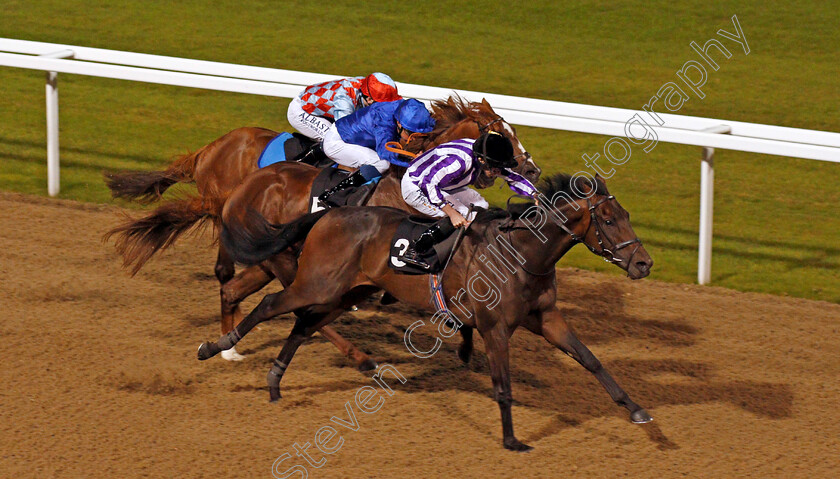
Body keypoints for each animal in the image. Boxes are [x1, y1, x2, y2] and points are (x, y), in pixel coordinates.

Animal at [105, 98, 540, 368]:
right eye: (504, 134)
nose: (531, 169)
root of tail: (210, 149)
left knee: (233, 285)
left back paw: (229, 346)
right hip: (263, 241)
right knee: (273, 294)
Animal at [199, 174, 656, 452]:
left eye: (627, 215)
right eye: (608, 220)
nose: (644, 264)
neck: (522, 254)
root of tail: (329, 213)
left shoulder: (547, 318)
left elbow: (591, 360)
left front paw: (637, 411)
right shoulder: (494, 328)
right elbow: (503, 387)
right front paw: (511, 440)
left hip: (348, 292)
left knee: (303, 325)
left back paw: (275, 383)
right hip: (317, 284)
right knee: (270, 306)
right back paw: (217, 347)